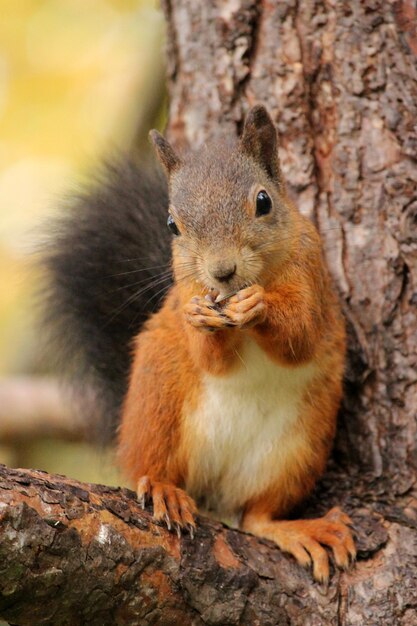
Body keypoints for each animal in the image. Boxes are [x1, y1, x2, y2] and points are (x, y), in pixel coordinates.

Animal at [45, 106, 354, 580]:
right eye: (173, 224)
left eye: (263, 202)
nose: (222, 272)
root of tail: (215, 487)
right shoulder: (189, 286)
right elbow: (213, 359)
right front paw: (201, 319)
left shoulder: (312, 273)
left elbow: (300, 336)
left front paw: (259, 306)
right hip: (157, 412)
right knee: (151, 467)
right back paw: (164, 489)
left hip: (296, 452)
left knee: (256, 516)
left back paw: (298, 530)